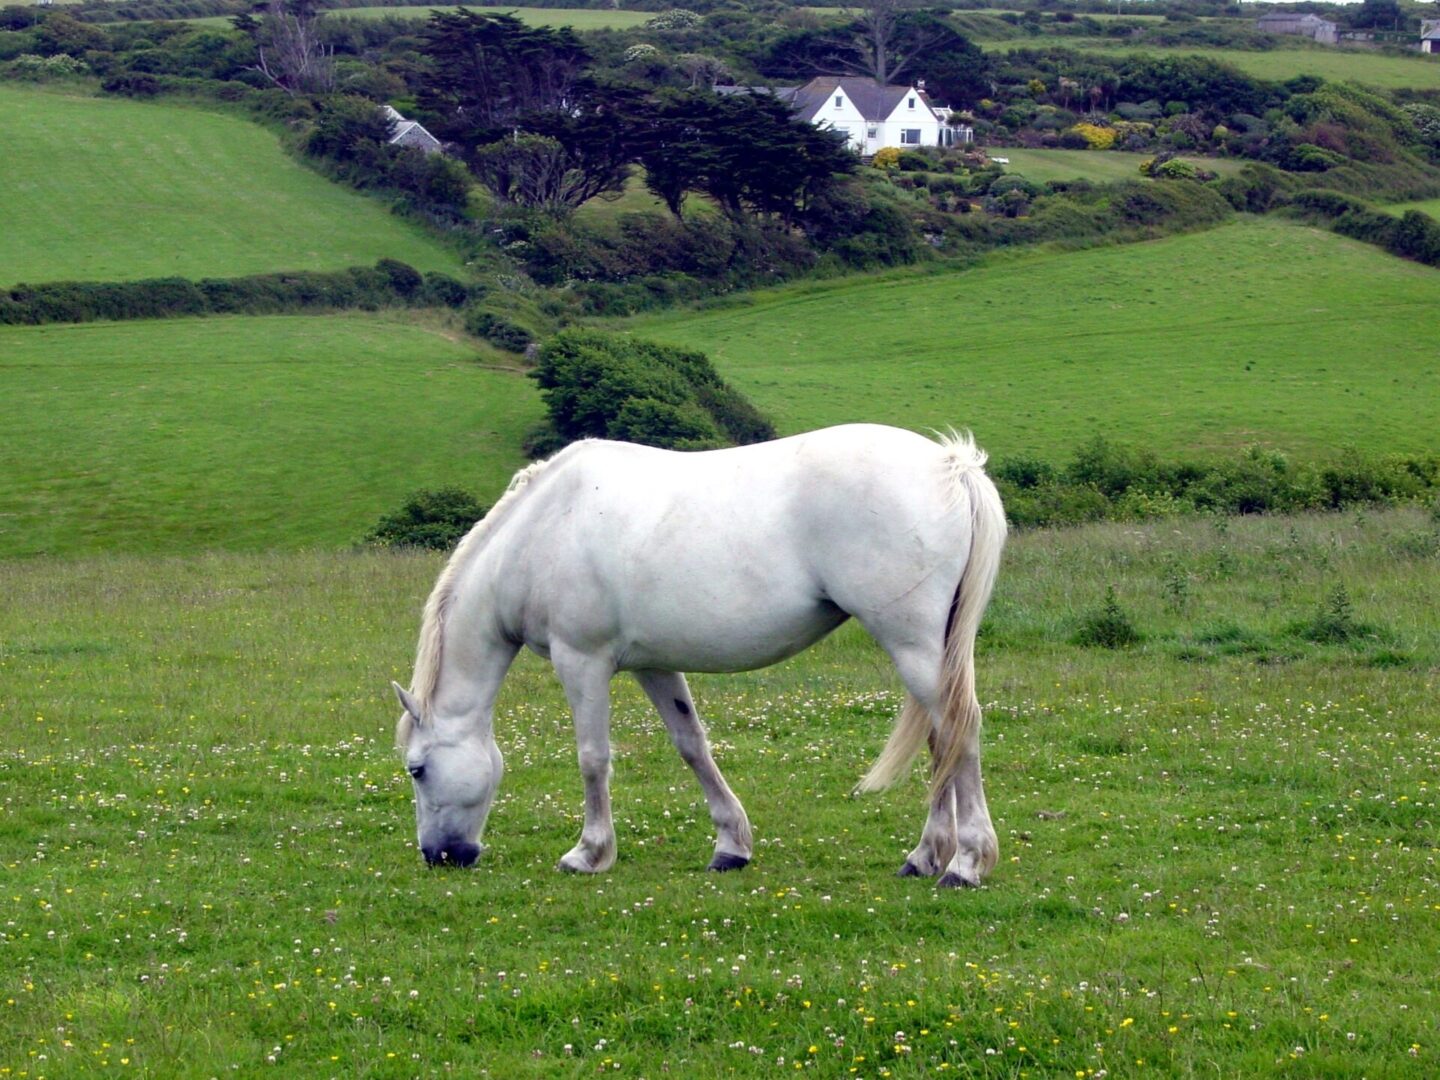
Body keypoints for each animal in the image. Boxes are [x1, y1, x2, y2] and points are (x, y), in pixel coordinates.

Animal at [392, 423, 1007, 887]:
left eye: (417, 769)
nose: (438, 855)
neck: (543, 531)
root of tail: (951, 465)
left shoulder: (581, 661)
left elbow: (593, 758)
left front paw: (589, 853)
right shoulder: (652, 664)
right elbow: (692, 745)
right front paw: (731, 845)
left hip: (912, 645)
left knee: (960, 728)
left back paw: (965, 863)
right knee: (941, 740)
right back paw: (925, 856)